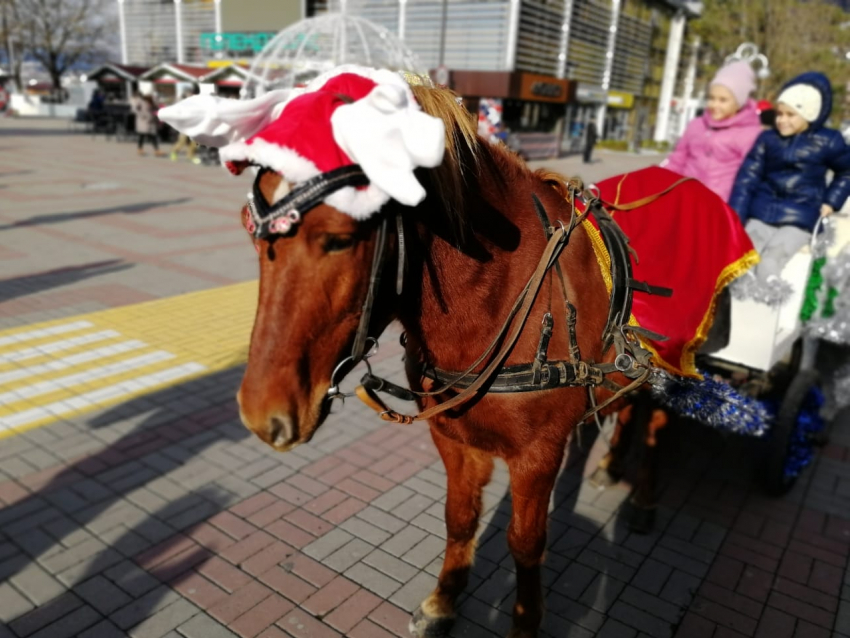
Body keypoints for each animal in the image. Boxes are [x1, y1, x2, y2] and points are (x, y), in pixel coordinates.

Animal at [237, 85, 628, 638]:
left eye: (339, 239)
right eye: (252, 236)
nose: (260, 414)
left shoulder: (539, 453)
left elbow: (526, 545)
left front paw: (526, 621)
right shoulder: (453, 437)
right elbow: (458, 518)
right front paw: (444, 599)